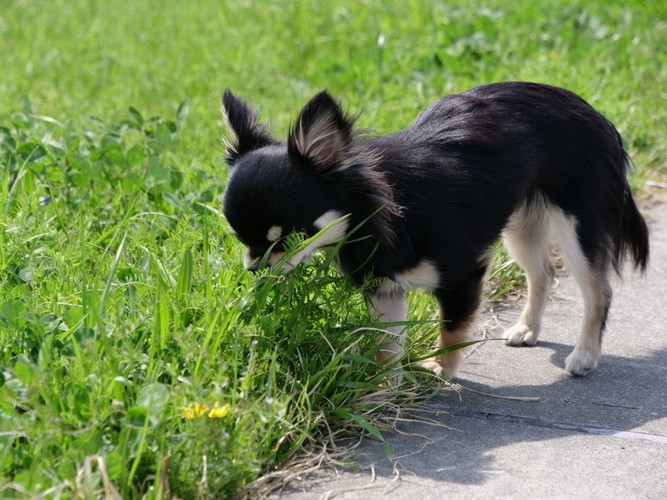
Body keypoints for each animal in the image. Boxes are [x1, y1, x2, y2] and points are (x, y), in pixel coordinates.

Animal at [222, 83, 648, 378]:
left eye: (288, 239)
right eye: (242, 240)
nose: (254, 271)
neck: (385, 211)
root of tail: (595, 115)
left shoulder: (462, 277)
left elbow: (452, 330)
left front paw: (441, 369)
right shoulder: (384, 287)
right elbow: (386, 341)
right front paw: (381, 383)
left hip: (577, 225)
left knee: (598, 292)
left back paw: (585, 355)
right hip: (522, 224)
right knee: (543, 273)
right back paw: (528, 328)